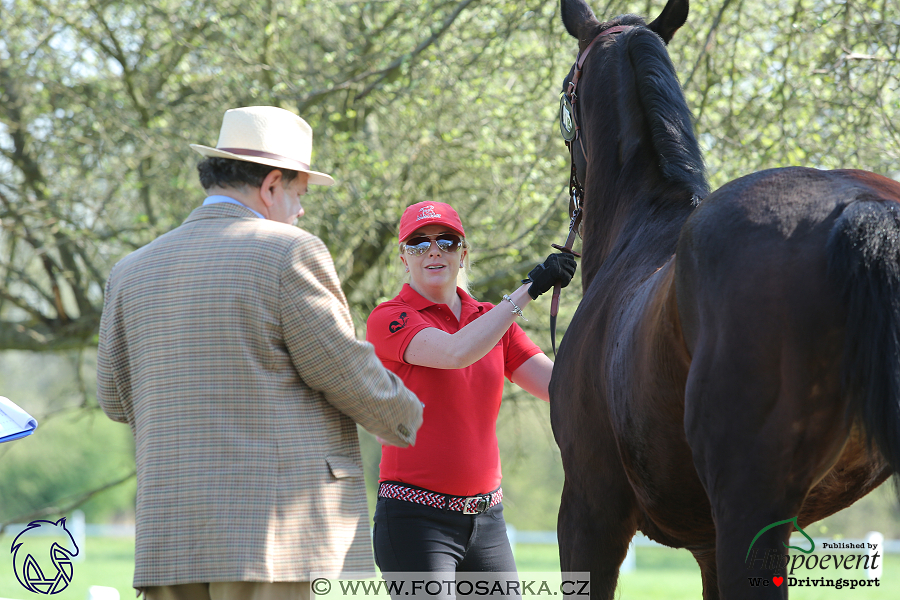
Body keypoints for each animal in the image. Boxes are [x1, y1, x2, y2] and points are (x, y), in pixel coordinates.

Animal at [548, 2, 900, 596]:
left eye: (566, 95)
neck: (640, 227)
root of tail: (861, 206)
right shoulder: (707, 544)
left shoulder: (589, 509)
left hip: (750, 507)